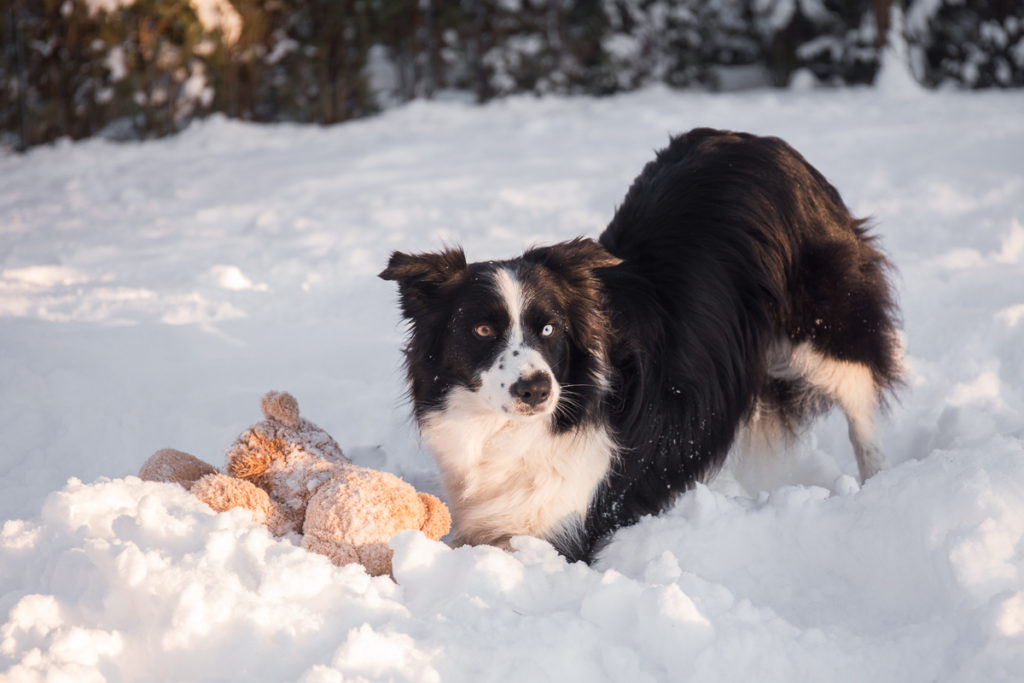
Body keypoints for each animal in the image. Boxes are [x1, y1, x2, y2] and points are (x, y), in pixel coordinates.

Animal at [380, 126, 901, 561]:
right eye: (482, 331)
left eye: (549, 329)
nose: (536, 390)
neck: (503, 430)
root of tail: (767, 143)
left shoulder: (561, 529)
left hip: (824, 331)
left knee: (861, 408)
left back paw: (878, 487)